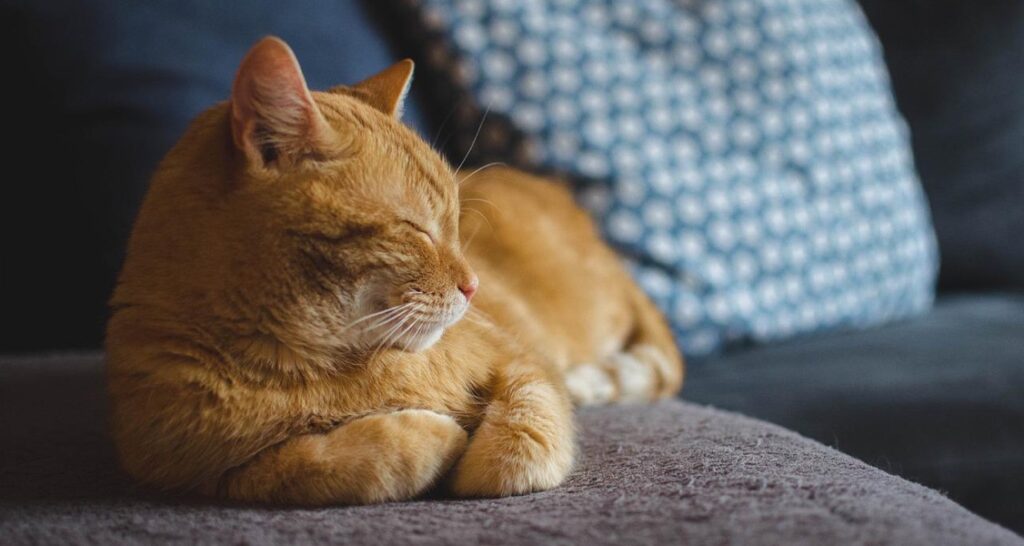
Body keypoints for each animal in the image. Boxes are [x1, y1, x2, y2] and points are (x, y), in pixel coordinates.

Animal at [105, 38, 679, 504]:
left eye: (456, 223)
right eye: (417, 230)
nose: (473, 286)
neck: (314, 365)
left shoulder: (521, 361)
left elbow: (525, 432)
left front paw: (477, 460)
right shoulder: (200, 471)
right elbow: (322, 464)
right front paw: (433, 437)